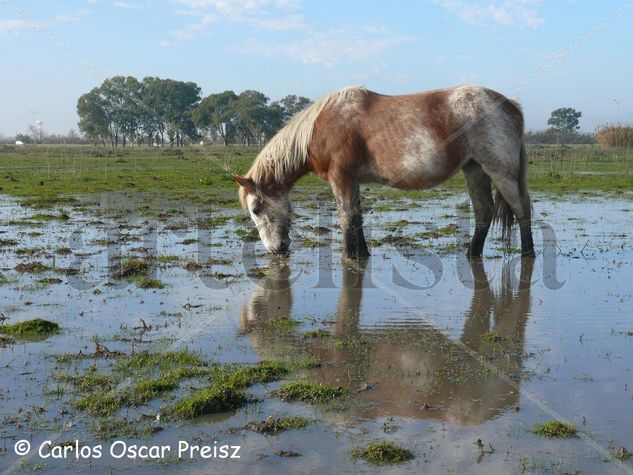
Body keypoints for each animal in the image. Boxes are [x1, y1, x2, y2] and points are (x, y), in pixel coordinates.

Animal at [232, 85, 532, 260]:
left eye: (256, 209)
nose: (276, 249)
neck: (321, 125)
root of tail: (512, 106)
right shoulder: (351, 179)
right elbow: (357, 216)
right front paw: (362, 254)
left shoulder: (341, 177)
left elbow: (345, 218)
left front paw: (349, 256)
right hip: (475, 170)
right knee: (484, 211)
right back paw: (472, 253)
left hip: (500, 171)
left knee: (520, 209)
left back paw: (528, 253)